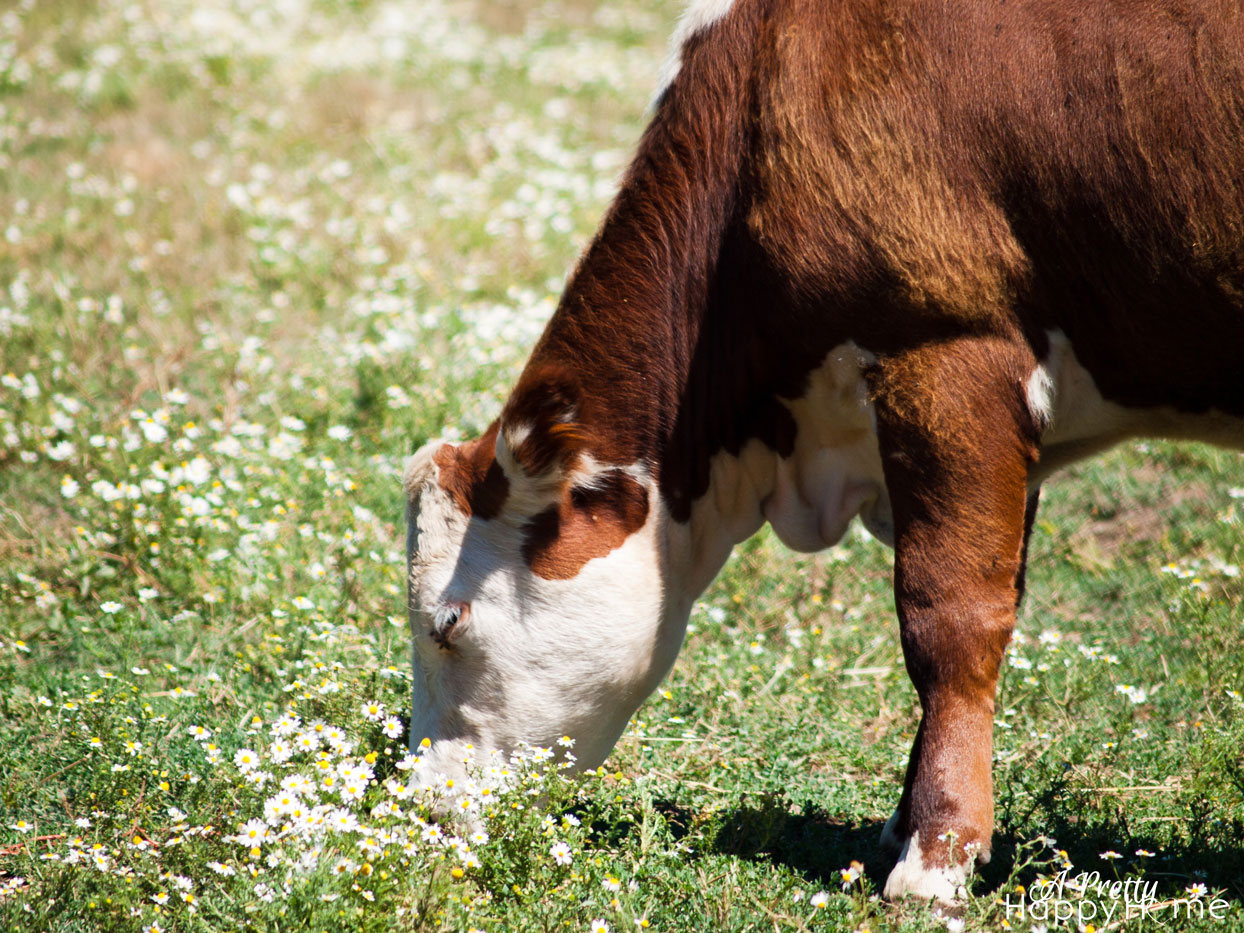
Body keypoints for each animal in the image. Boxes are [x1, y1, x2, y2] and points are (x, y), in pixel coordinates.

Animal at [403, 0, 1244, 902]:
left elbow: (949, 617)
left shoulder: (950, 352)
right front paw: (907, 824)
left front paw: (936, 854)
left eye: (447, 622)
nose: (422, 808)